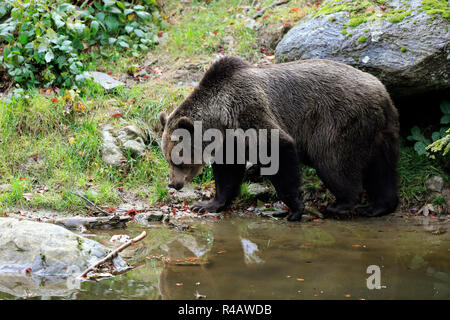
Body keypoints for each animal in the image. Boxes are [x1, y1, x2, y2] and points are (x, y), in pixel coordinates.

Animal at [159, 55, 400, 220]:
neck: (221, 118)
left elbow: (277, 148)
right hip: (380, 131)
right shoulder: (231, 141)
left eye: (178, 160)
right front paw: (207, 204)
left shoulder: (248, 112)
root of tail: (381, 91)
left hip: (337, 120)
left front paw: (294, 209)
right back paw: (377, 206)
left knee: (333, 161)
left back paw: (340, 204)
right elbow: (227, 173)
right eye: (167, 158)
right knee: (382, 168)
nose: (173, 183)